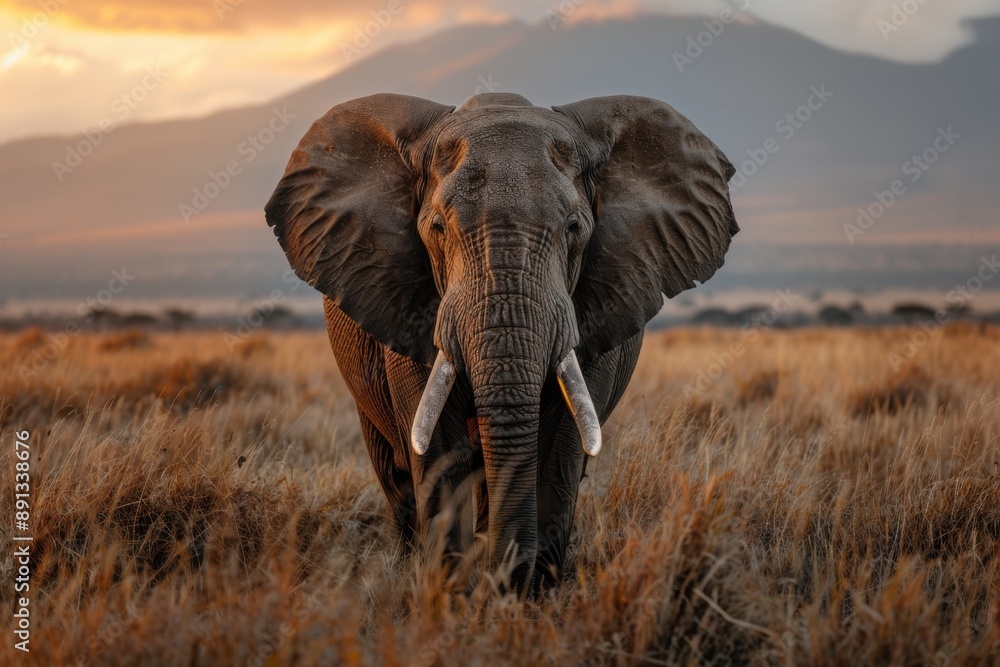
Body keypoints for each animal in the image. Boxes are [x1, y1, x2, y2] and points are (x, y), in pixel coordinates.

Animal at [265, 92, 738, 591]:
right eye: (437, 229)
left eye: (574, 229)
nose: (500, 580)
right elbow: (438, 453)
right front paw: (450, 593)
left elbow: (559, 451)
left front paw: (526, 597)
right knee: (395, 475)